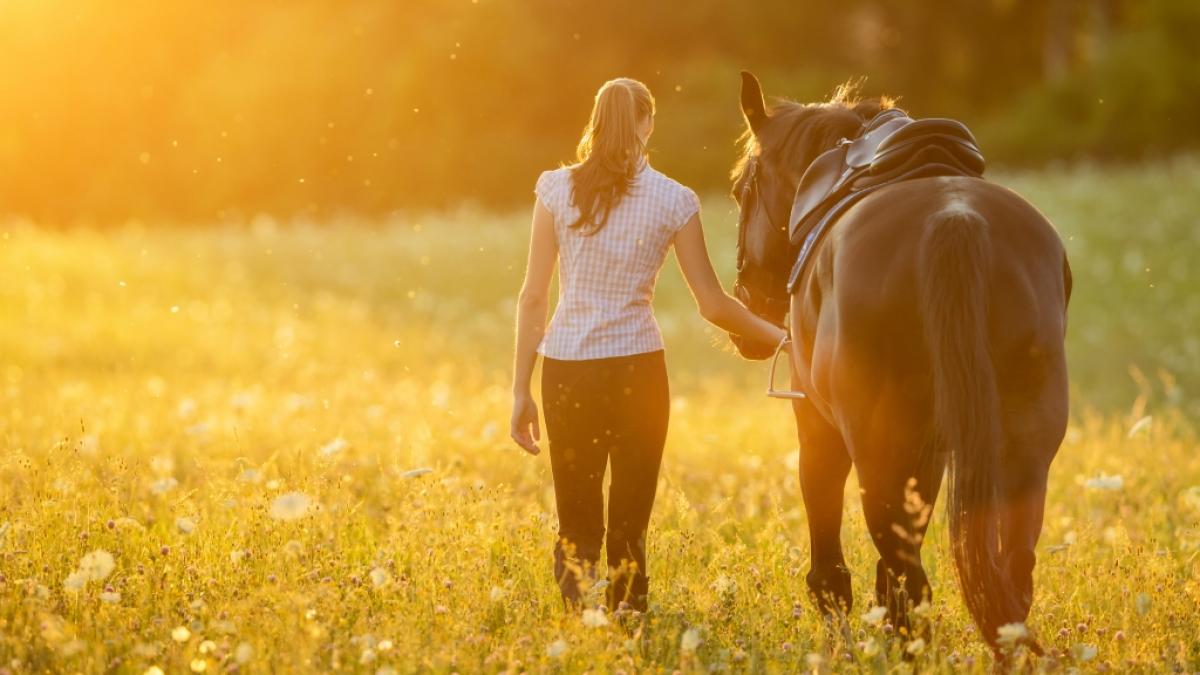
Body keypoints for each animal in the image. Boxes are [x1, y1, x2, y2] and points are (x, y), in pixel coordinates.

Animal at [728, 71, 1072, 653]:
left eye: (739, 190)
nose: (744, 301)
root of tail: (955, 220)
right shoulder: (929, 447)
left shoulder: (816, 426)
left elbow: (830, 565)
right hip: (1025, 448)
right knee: (1007, 575)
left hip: (878, 449)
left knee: (912, 578)